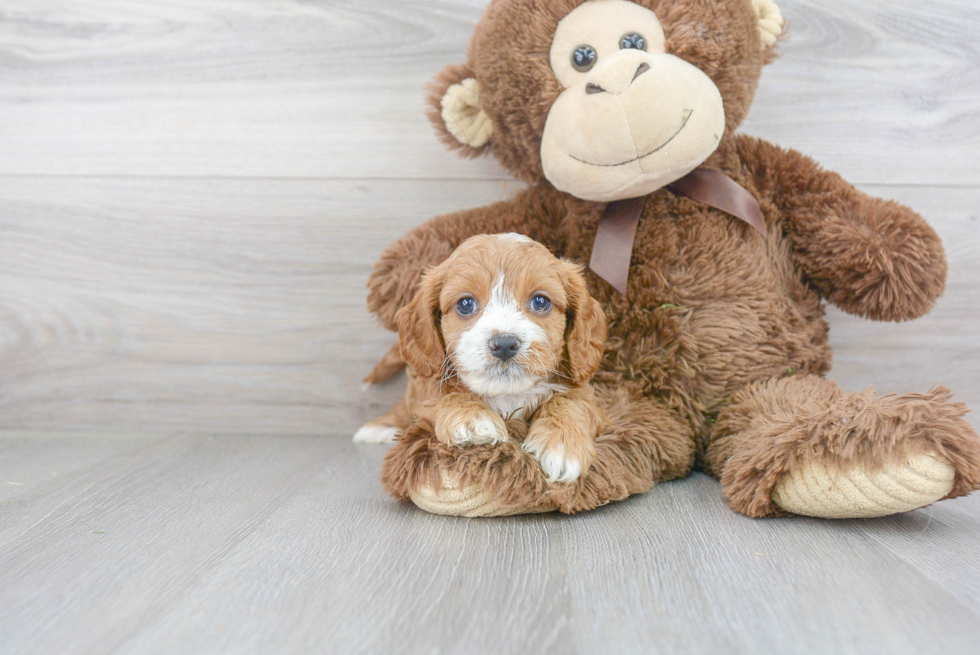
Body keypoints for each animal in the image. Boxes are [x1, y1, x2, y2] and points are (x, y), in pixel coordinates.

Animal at [388, 233, 608, 484]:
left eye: (540, 302)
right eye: (465, 304)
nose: (503, 344)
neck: (508, 394)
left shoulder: (591, 398)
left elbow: (572, 399)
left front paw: (562, 442)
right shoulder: (426, 391)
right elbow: (440, 396)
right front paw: (471, 417)